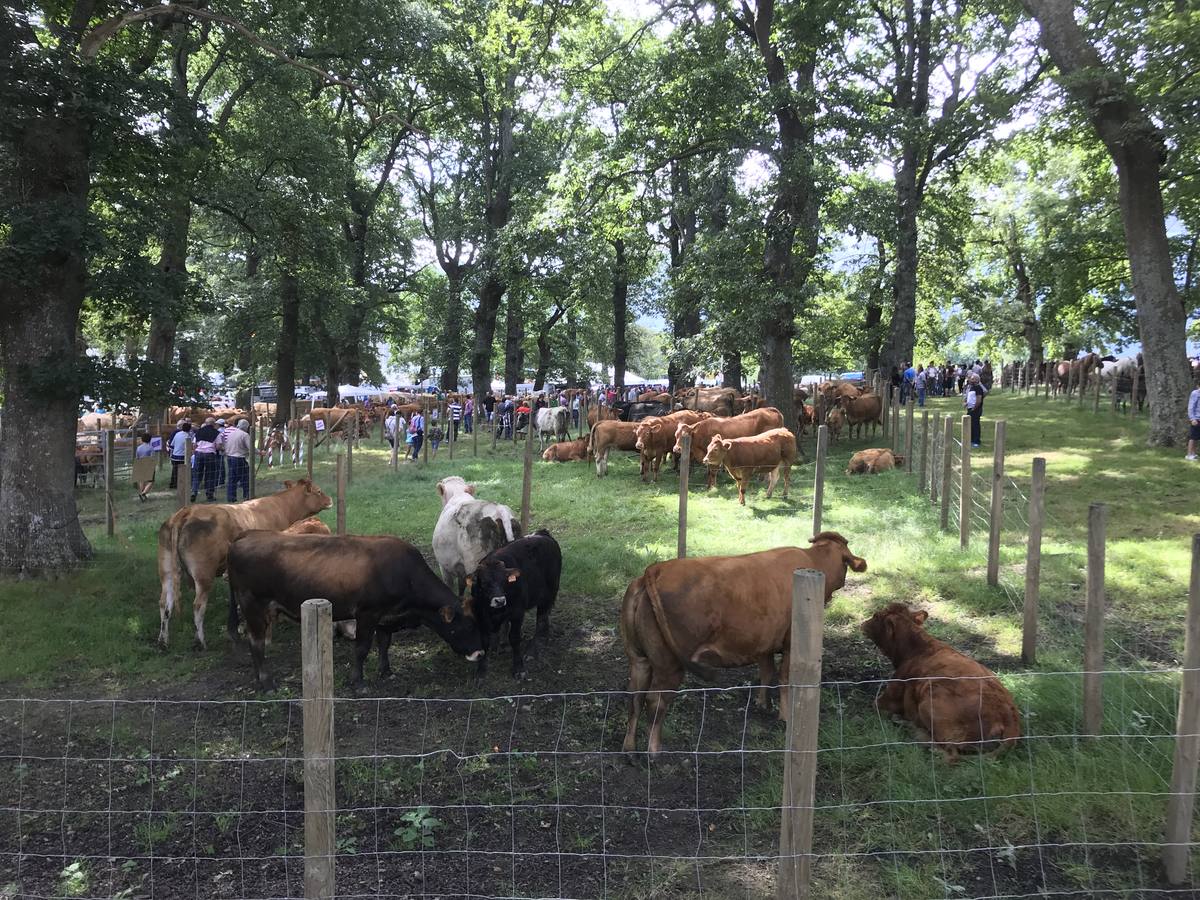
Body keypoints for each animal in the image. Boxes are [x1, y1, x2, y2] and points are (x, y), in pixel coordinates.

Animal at [157, 475, 333, 652]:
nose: (330, 500)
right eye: (318, 491)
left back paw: (163, 641)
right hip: (203, 574)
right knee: (198, 605)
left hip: (167, 570)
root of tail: (186, 512)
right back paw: (200, 641)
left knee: (165, 603)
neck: (282, 506)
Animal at [226, 535, 480, 691]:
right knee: (256, 644)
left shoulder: (386, 617)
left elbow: (384, 643)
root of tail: (243, 538)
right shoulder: (367, 613)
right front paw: (358, 682)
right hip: (253, 606)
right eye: (465, 626)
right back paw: (267, 683)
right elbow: (361, 649)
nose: (479, 653)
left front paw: (386, 671)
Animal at [465, 532, 564, 681]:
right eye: (485, 583)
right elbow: (485, 640)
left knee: (541, 620)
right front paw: (481, 672)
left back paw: (532, 650)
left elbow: (515, 638)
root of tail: (542, 534)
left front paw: (518, 668)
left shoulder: (517, 613)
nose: (499, 600)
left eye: (504, 581)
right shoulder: (482, 615)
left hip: (549, 593)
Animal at [619, 532, 873, 758]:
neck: (813, 562)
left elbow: (767, 672)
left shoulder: (763, 642)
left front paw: (762, 703)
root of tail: (656, 570)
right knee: (655, 701)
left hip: (639, 658)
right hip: (669, 665)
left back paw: (629, 749)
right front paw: (785, 716)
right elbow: (784, 678)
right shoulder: (791, 642)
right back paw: (654, 752)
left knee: (635, 697)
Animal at [864, 602, 1022, 763]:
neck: (916, 649)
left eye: (876, 615)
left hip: (928, 705)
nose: (863, 624)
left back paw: (913, 730)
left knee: (951, 755)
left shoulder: (887, 698)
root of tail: (1010, 718)